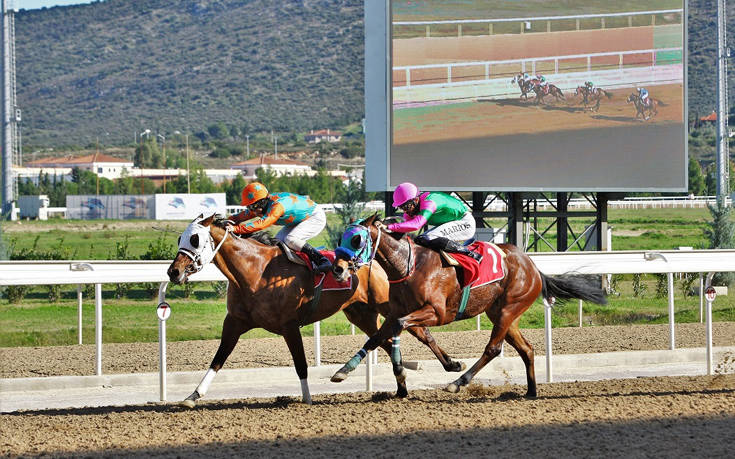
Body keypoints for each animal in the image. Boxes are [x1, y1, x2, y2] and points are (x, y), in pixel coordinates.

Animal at [168, 214, 466, 404]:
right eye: (181, 237)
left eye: (195, 239)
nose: (173, 272)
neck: (255, 271)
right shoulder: (235, 322)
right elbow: (218, 359)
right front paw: (193, 396)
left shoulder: (289, 326)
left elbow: (301, 364)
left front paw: (307, 398)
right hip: (361, 313)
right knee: (384, 338)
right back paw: (403, 381)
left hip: (386, 305)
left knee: (419, 332)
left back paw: (451, 364)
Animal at [330, 216, 608, 398]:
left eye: (356, 239)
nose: (338, 269)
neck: (408, 265)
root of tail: (532, 266)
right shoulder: (395, 311)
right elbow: (375, 338)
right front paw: (343, 371)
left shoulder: (437, 313)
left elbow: (399, 328)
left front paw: (402, 371)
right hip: (502, 313)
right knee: (526, 349)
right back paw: (531, 391)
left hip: (508, 309)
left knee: (493, 348)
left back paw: (458, 382)